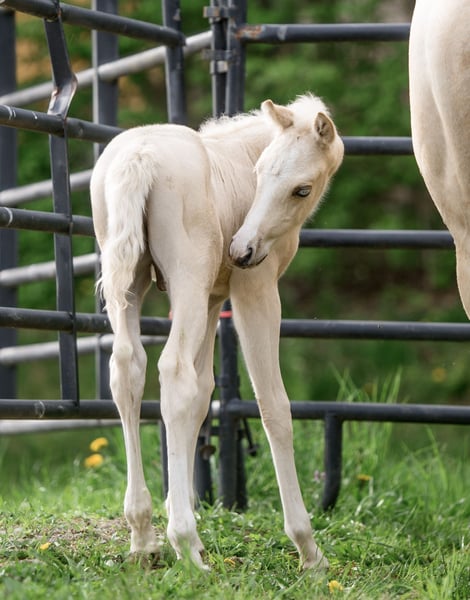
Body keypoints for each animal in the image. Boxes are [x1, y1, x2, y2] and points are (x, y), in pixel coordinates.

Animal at [90, 93, 344, 570]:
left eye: (299, 188)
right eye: (260, 174)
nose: (241, 249)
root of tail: (138, 157)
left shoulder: (211, 299)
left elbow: (204, 392)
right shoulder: (254, 290)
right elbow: (273, 404)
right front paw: (308, 550)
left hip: (132, 281)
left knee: (128, 369)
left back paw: (144, 537)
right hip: (188, 277)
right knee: (171, 372)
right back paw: (187, 546)